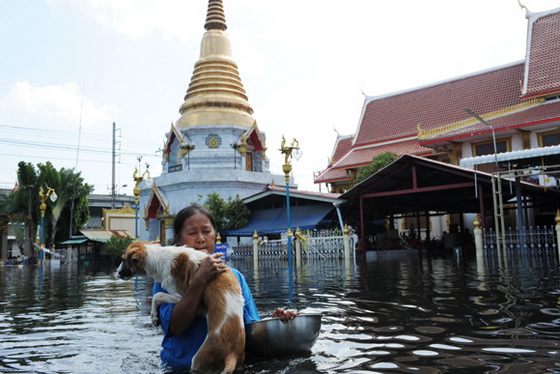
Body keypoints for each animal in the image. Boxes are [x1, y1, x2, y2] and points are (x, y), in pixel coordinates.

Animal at [115, 241, 244, 374]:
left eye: (123, 259)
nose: (116, 272)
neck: (158, 258)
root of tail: (232, 354)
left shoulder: (180, 296)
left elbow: (157, 295)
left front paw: (154, 317)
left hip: (199, 359)